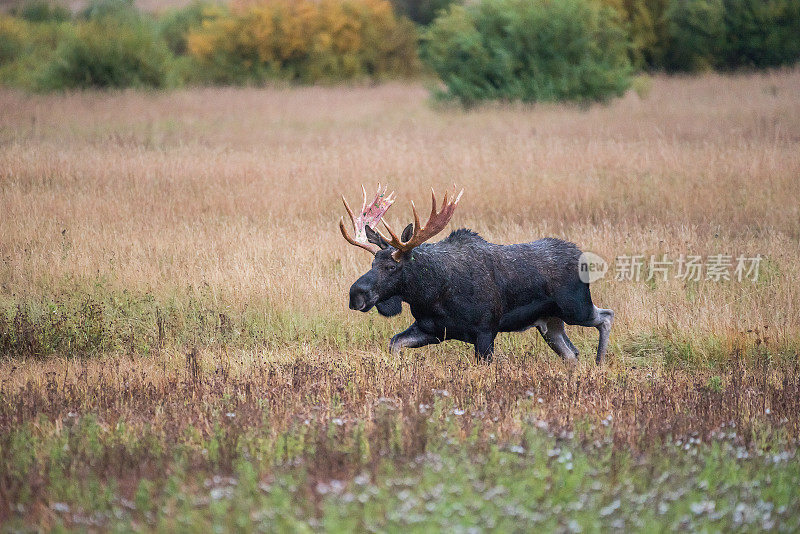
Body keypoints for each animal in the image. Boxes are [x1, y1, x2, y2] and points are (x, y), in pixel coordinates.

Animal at [338, 184, 612, 364]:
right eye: (373, 262)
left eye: (392, 267)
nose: (356, 294)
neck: (431, 293)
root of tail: (579, 255)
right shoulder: (431, 329)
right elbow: (395, 343)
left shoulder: (485, 332)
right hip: (550, 322)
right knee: (572, 354)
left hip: (576, 308)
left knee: (606, 316)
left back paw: (600, 361)